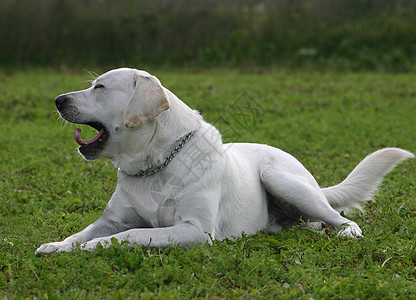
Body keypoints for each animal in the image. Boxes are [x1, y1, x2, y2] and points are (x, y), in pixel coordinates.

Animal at [35, 68, 412, 253]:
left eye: (99, 88)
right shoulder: (111, 219)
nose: (57, 99)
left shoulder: (194, 230)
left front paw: (92, 247)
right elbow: (83, 232)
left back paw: (346, 233)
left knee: (343, 218)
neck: (156, 165)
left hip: (283, 179)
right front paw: (58, 245)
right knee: (313, 224)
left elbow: (131, 234)